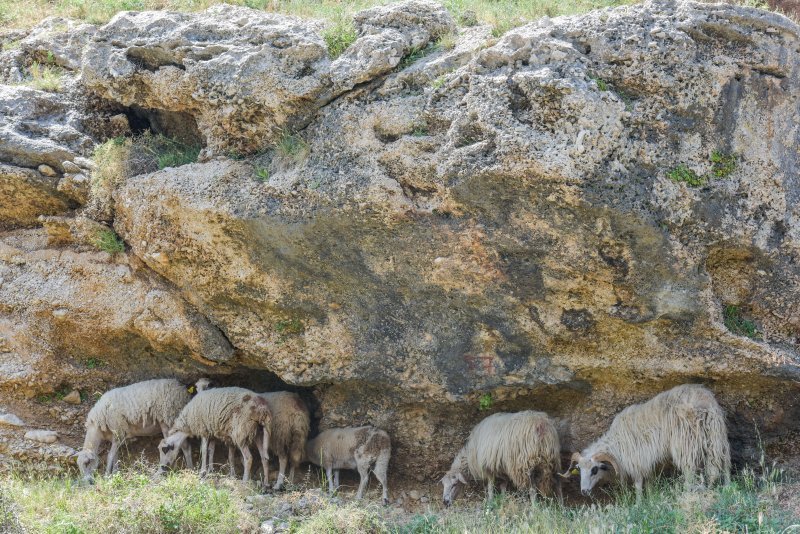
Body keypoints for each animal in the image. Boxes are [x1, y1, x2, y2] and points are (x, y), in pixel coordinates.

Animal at [564, 386, 732, 502]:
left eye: (594, 470)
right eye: (579, 469)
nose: (584, 491)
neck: (616, 443)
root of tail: (705, 402)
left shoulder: (637, 460)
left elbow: (638, 484)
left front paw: (638, 504)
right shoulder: (648, 462)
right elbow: (650, 483)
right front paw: (651, 499)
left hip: (686, 443)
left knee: (690, 471)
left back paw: (687, 494)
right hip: (716, 436)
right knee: (722, 465)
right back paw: (725, 488)